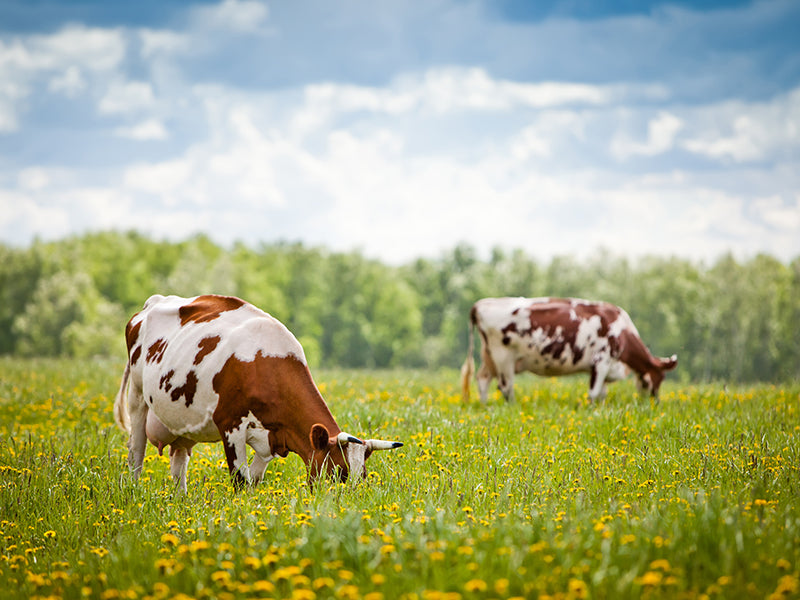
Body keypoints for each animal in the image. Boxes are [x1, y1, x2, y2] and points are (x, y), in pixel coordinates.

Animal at [115, 292, 404, 490]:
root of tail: (155, 301)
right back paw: (134, 492)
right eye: (336, 474)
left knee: (178, 467)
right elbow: (240, 481)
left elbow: (253, 480)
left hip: (182, 424)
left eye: (362, 477)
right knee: (136, 454)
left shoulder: (273, 440)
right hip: (138, 398)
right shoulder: (230, 425)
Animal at [460, 296, 680, 404]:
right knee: (506, 387)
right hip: (503, 357)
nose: (654, 403)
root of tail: (481, 304)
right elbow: (593, 392)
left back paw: (485, 406)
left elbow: (602, 393)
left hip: (489, 357)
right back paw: (512, 407)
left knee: (482, 379)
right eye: (658, 379)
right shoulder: (601, 361)